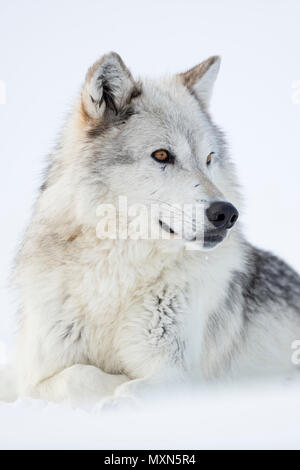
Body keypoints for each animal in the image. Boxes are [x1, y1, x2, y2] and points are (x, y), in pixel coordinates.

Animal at [1, 50, 298, 404]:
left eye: (209, 159)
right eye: (162, 155)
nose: (227, 214)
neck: (115, 278)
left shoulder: (175, 372)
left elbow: (134, 386)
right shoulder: (39, 371)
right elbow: (74, 377)